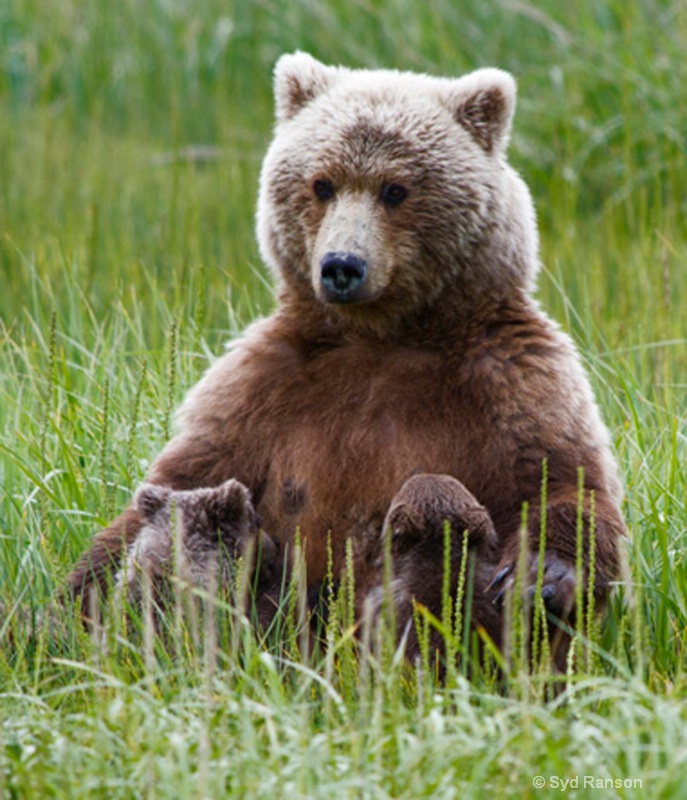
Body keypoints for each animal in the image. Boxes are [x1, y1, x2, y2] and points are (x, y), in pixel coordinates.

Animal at [66, 53, 628, 668]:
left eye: (395, 188)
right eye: (322, 183)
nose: (341, 265)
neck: (381, 337)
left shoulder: (510, 376)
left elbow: (563, 481)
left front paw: (541, 577)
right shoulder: (263, 386)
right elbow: (184, 479)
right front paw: (69, 610)